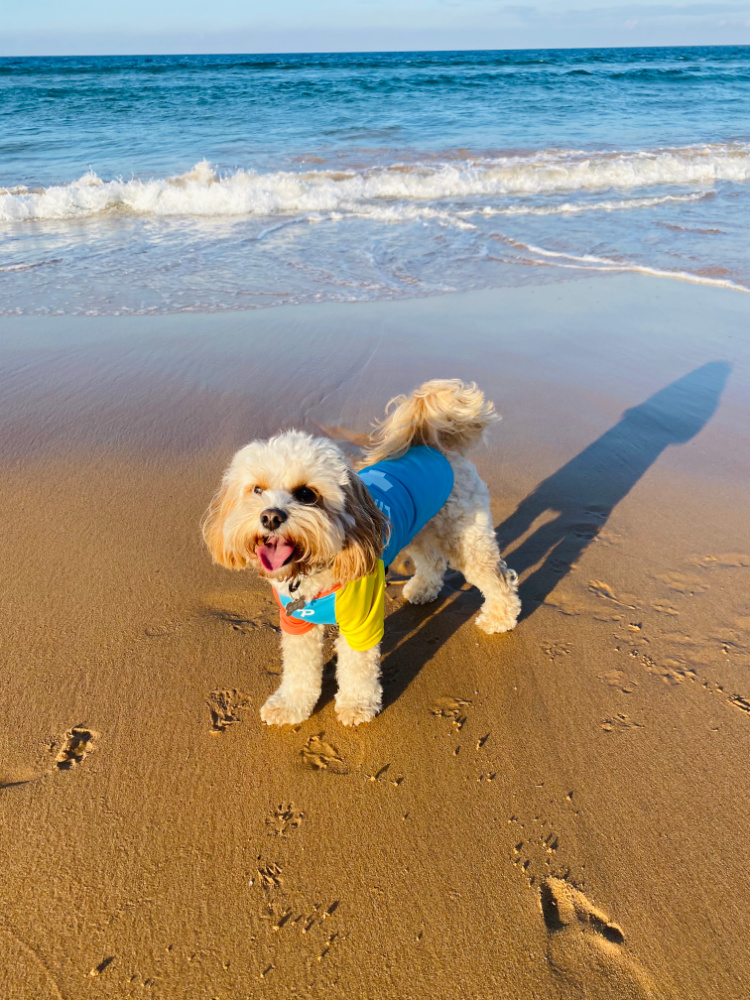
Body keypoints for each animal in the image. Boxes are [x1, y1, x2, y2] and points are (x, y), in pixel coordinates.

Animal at [203, 378, 520, 724]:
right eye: (257, 489)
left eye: (307, 494)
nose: (271, 517)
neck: (312, 571)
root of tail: (434, 448)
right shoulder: (296, 621)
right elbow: (299, 668)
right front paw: (290, 705)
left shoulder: (363, 619)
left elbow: (357, 666)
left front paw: (356, 705)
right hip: (418, 529)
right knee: (432, 562)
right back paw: (423, 589)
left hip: (462, 537)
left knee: (496, 576)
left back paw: (500, 617)